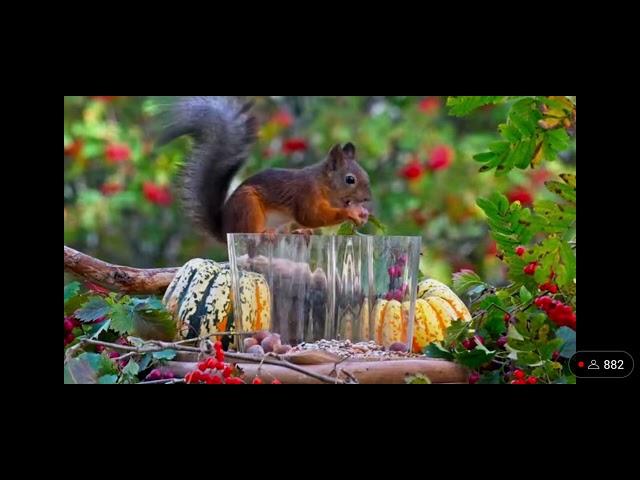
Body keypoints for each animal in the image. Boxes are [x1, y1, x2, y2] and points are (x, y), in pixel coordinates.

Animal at [159, 96, 370, 244]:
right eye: (350, 179)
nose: (367, 199)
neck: (323, 184)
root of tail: (225, 230)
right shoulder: (305, 194)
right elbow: (310, 216)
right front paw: (350, 213)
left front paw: (362, 214)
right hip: (247, 207)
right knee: (250, 231)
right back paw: (265, 232)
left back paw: (299, 232)